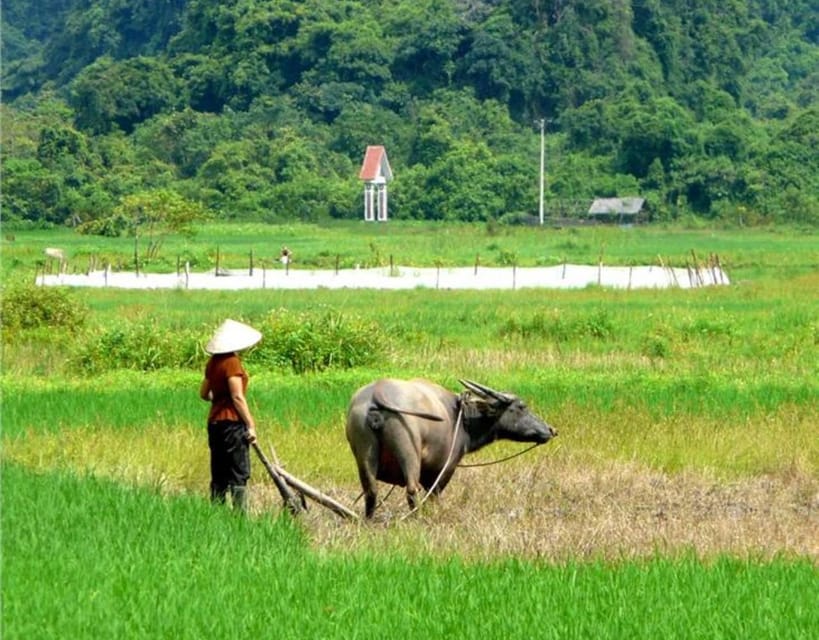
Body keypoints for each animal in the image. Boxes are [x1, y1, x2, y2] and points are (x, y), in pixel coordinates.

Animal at [346, 378, 556, 516]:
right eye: (522, 407)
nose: (551, 430)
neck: (461, 418)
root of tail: (377, 392)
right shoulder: (445, 468)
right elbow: (434, 494)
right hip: (408, 449)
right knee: (412, 489)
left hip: (364, 451)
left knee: (371, 491)